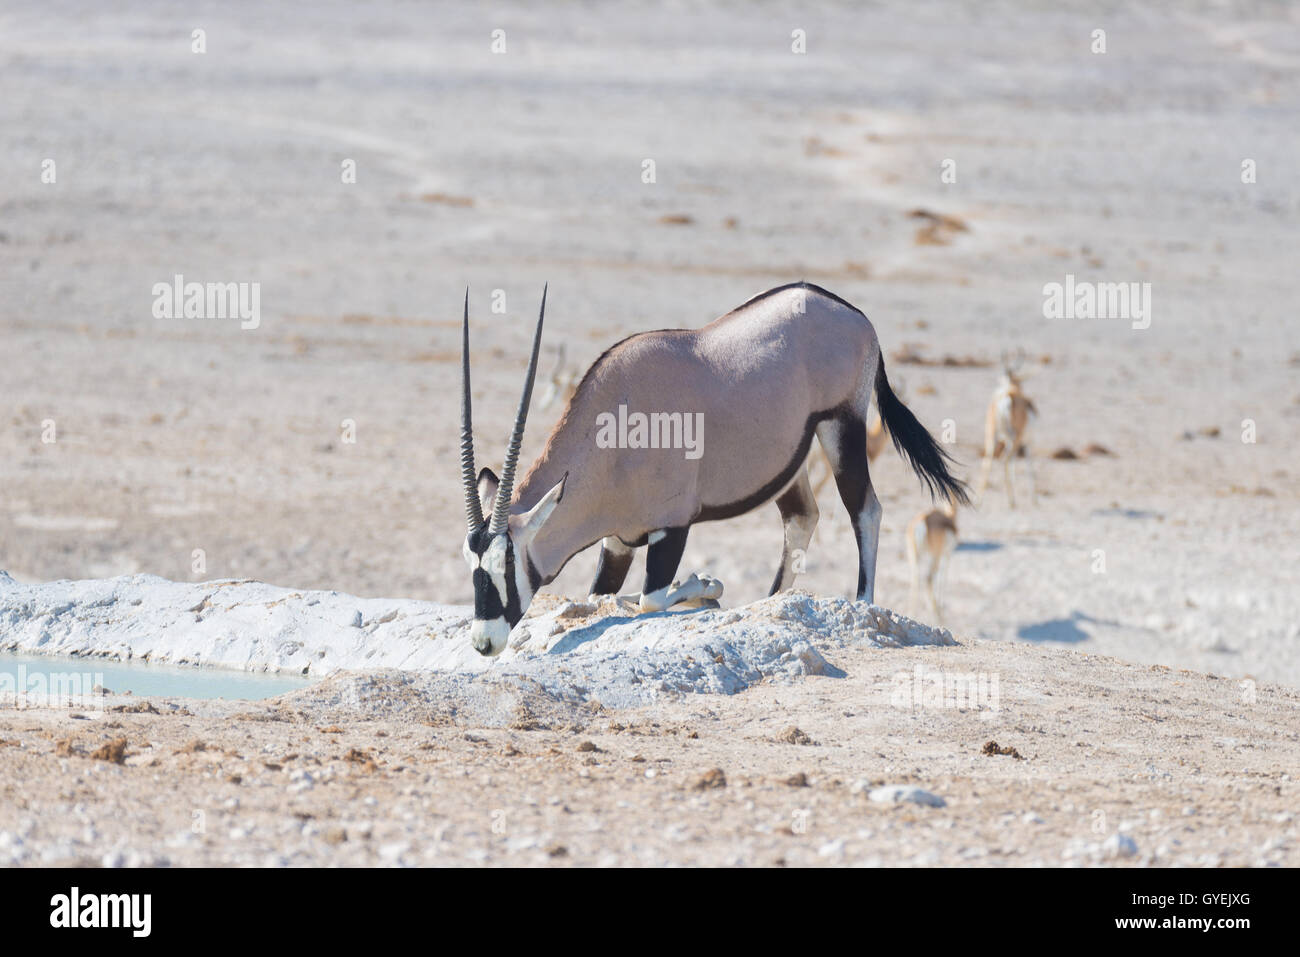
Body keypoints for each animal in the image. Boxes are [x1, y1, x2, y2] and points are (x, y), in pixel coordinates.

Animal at [909, 496, 961, 624]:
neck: (950, 516)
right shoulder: (947, 554)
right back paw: (936, 616)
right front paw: (940, 606)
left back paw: (913, 614)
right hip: (934, 557)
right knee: (928, 578)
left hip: (914, 556)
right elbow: (943, 578)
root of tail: (922, 523)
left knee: (915, 580)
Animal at [977, 351, 1034, 509]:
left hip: (991, 434)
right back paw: (1011, 501)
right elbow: (1029, 464)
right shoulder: (1027, 441)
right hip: (1016, 437)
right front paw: (1035, 499)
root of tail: (1008, 398)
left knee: (988, 459)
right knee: (1005, 459)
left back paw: (979, 500)